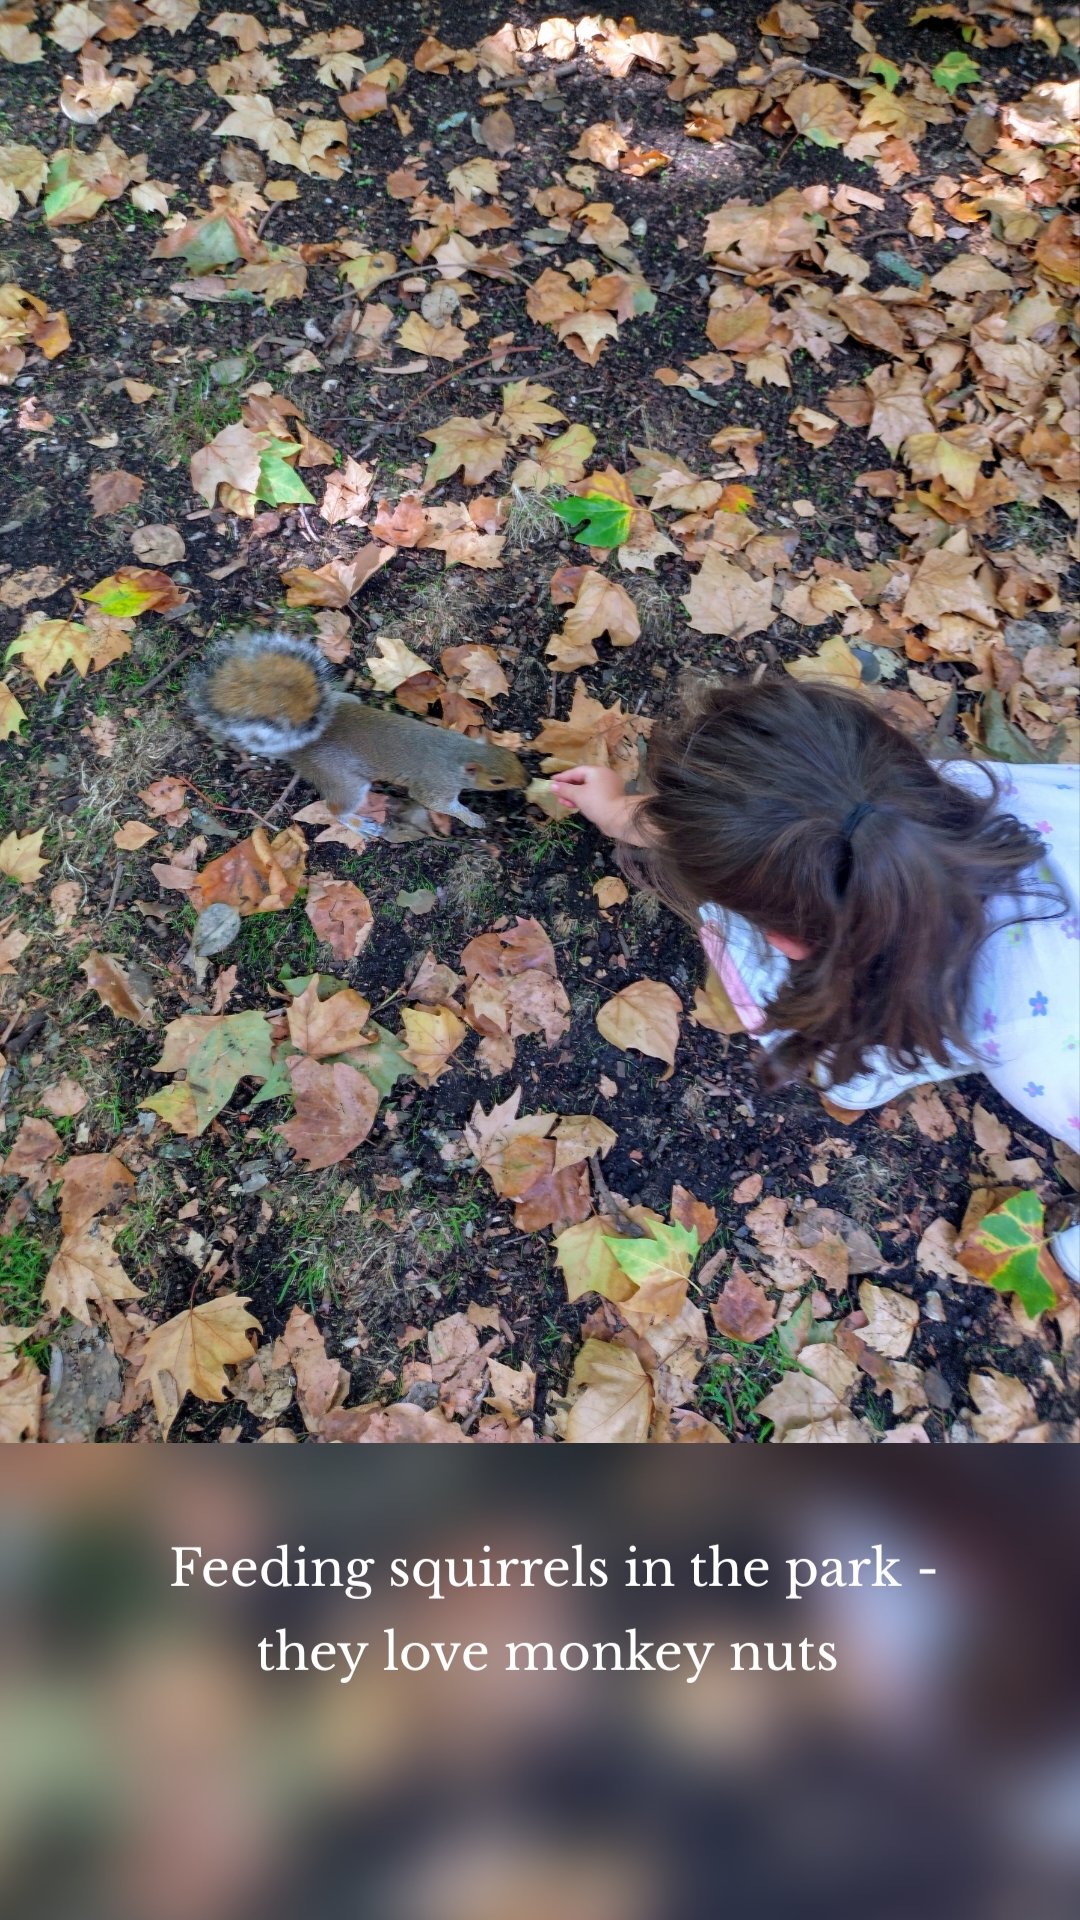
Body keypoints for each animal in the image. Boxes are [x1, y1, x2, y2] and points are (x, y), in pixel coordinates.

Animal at [187, 631, 527, 836]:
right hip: (346, 782)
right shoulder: (433, 786)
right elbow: (441, 805)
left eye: (512, 756)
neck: (455, 754)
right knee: (335, 809)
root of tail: (301, 747)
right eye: (496, 781)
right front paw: (472, 817)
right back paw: (356, 823)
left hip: (349, 704)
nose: (526, 782)